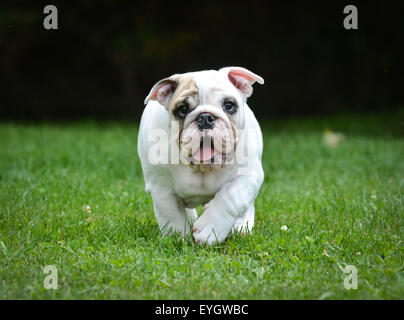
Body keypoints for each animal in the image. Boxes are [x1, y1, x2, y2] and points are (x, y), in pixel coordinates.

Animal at [138, 66, 266, 244]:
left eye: (229, 105)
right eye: (183, 110)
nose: (205, 117)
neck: (203, 167)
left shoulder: (248, 176)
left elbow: (231, 197)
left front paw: (210, 229)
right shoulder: (161, 189)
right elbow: (172, 216)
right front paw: (178, 238)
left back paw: (241, 228)